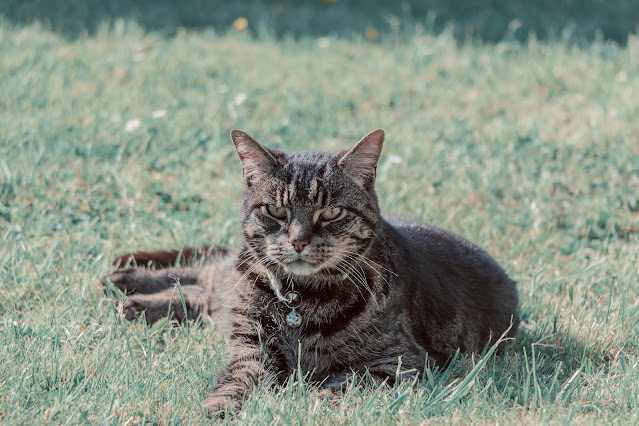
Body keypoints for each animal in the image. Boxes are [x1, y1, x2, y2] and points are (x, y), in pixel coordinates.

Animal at [101, 130, 520, 416]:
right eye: (276, 211)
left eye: (331, 212)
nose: (298, 241)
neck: (300, 299)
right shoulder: (251, 351)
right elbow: (233, 385)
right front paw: (215, 409)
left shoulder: (401, 363)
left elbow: (344, 384)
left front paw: (304, 403)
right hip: (239, 273)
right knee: (206, 275)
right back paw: (124, 281)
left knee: (205, 295)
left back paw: (129, 297)